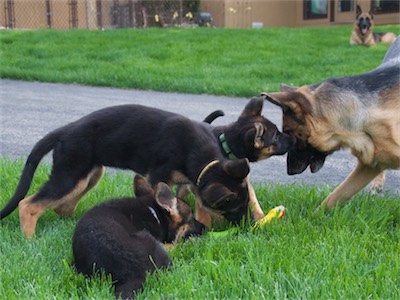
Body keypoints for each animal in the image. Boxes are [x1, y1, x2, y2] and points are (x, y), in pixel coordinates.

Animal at [0, 104, 250, 238]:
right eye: (234, 208)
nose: (246, 228)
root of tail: (65, 131)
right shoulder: (158, 177)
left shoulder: (187, 183)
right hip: (69, 175)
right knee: (28, 204)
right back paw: (29, 239)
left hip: (89, 176)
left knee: (62, 206)